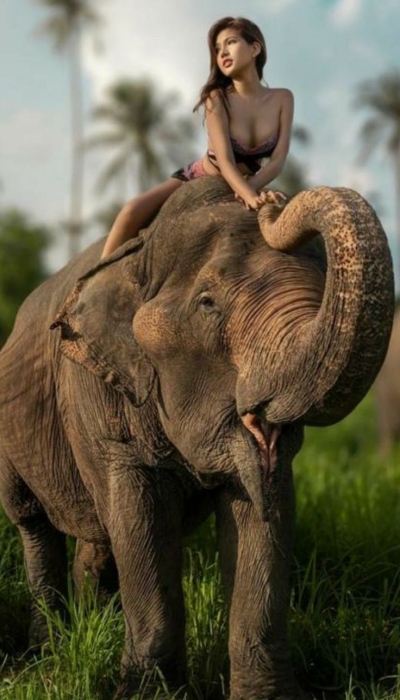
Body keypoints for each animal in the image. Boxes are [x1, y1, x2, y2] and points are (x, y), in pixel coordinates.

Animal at [0, 177, 394, 700]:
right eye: (208, 303)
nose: (271, 202)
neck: (140, 257)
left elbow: (260, 514)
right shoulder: (97, 394)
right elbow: (139, 521)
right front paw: (148, 694)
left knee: (98, 536)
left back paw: (91, 626)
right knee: (32, 523)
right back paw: (49, 649)